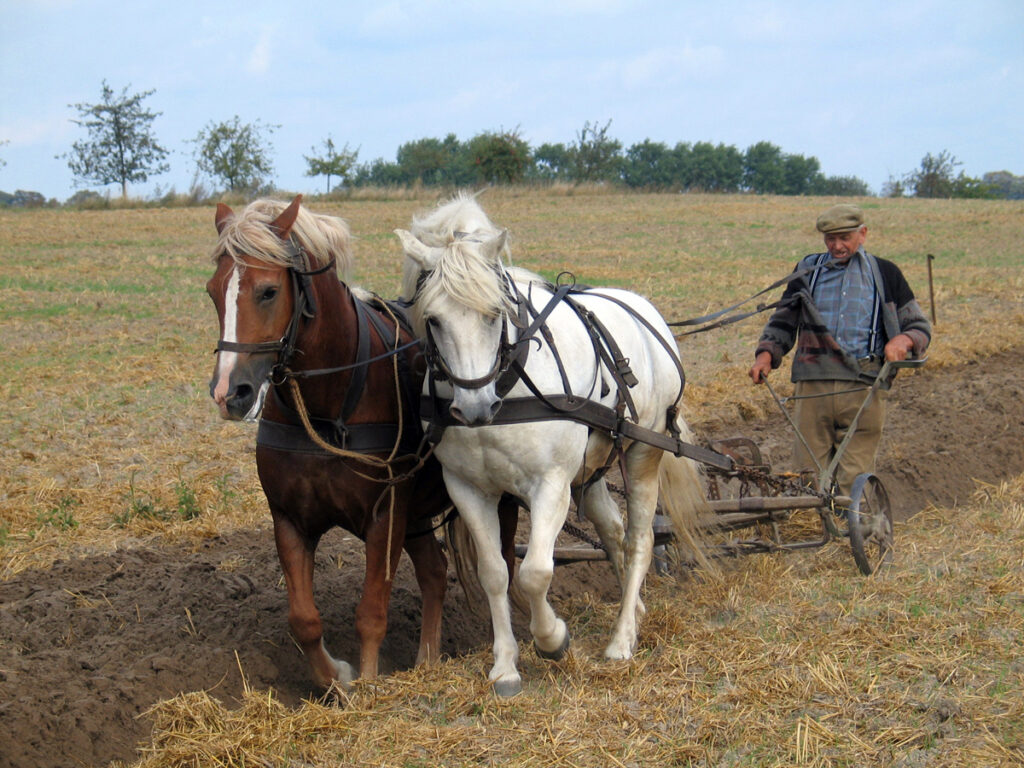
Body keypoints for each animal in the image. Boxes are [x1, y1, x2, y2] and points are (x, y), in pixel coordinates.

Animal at [207, 195, 467, 689]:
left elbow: (371, 613)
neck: (328, 409)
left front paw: (367, 685)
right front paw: (337, 680)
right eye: (213, 291)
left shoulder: (386, 515)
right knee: (435, 572)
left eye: (268, 291)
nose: (229, 393)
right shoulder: (290, 519)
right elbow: (304, 620)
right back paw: (427, 660)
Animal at [394, 194, 710, 697]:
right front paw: (505, 666)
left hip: (644, 452)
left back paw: (622, 640)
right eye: (433, 319)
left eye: (494, 313)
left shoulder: (550, 485)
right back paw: (635, 610)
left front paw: (553, 639)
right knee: (613, 531)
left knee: (639, 539)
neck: (507, 385)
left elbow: (535, 573)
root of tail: (646, 312)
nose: (475, 407)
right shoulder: (467, 489)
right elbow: (495, 574)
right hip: (592, 470)